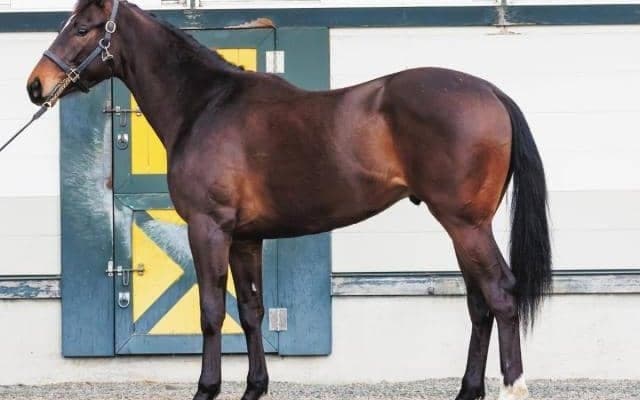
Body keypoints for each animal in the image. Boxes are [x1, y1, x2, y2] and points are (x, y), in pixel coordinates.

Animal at [26, 1, 551, 399]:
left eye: (82, 27)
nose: (36, 85)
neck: (206, 105)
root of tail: (490, 91)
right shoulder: (245, 238)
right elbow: (250, 311)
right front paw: (254, 388)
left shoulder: (209, 229)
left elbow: (212, 312)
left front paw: (206, 388)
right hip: (464, 228)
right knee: (480, 304)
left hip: (466, 224)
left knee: (500, 294)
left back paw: (513, 387)